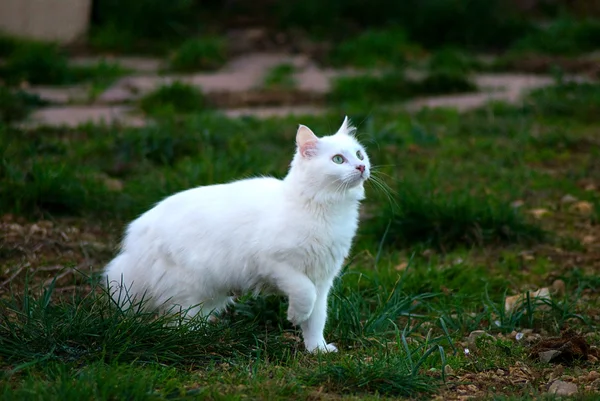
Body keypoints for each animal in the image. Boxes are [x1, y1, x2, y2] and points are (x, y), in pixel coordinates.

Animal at [105, 115, 370, 350]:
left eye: (359, 154)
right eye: (338, 159)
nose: (362, 166)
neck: (326, 211)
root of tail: (135, 237)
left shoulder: (322, 279)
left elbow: (316, 319)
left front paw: (317, 349)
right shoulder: (276, 264)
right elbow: (305, 294)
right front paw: (295, 316)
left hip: (208, 294)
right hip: (188, 290)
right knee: (177, 325)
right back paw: (197, 341)